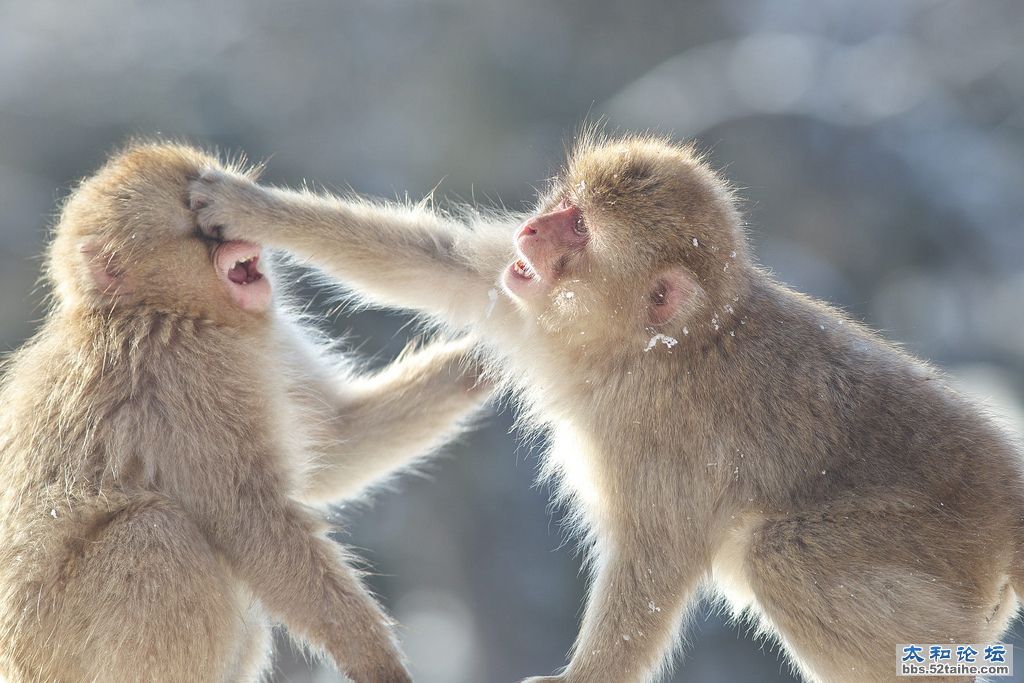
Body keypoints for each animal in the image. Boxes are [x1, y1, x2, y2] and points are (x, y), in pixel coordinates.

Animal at [0, 140, 491, 683]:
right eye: (202, 228)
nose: (241, 238)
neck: (163, 308)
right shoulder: (188, 374)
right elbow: (256, 523)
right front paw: (376, 661)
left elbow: (335, 443)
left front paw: (484, 358)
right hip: (58, 651)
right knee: (154, 534)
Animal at [186, 133, 1024, 683]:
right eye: (565, 205)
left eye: (580, 229)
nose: (532, 227)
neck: (641, 349)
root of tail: (1008, 496)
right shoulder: (524, 300)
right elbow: (441, 263)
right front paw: (249, 205)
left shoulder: (668, 434)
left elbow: (653, 556)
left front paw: (582, 678)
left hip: (940, 546)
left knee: (785, 556)